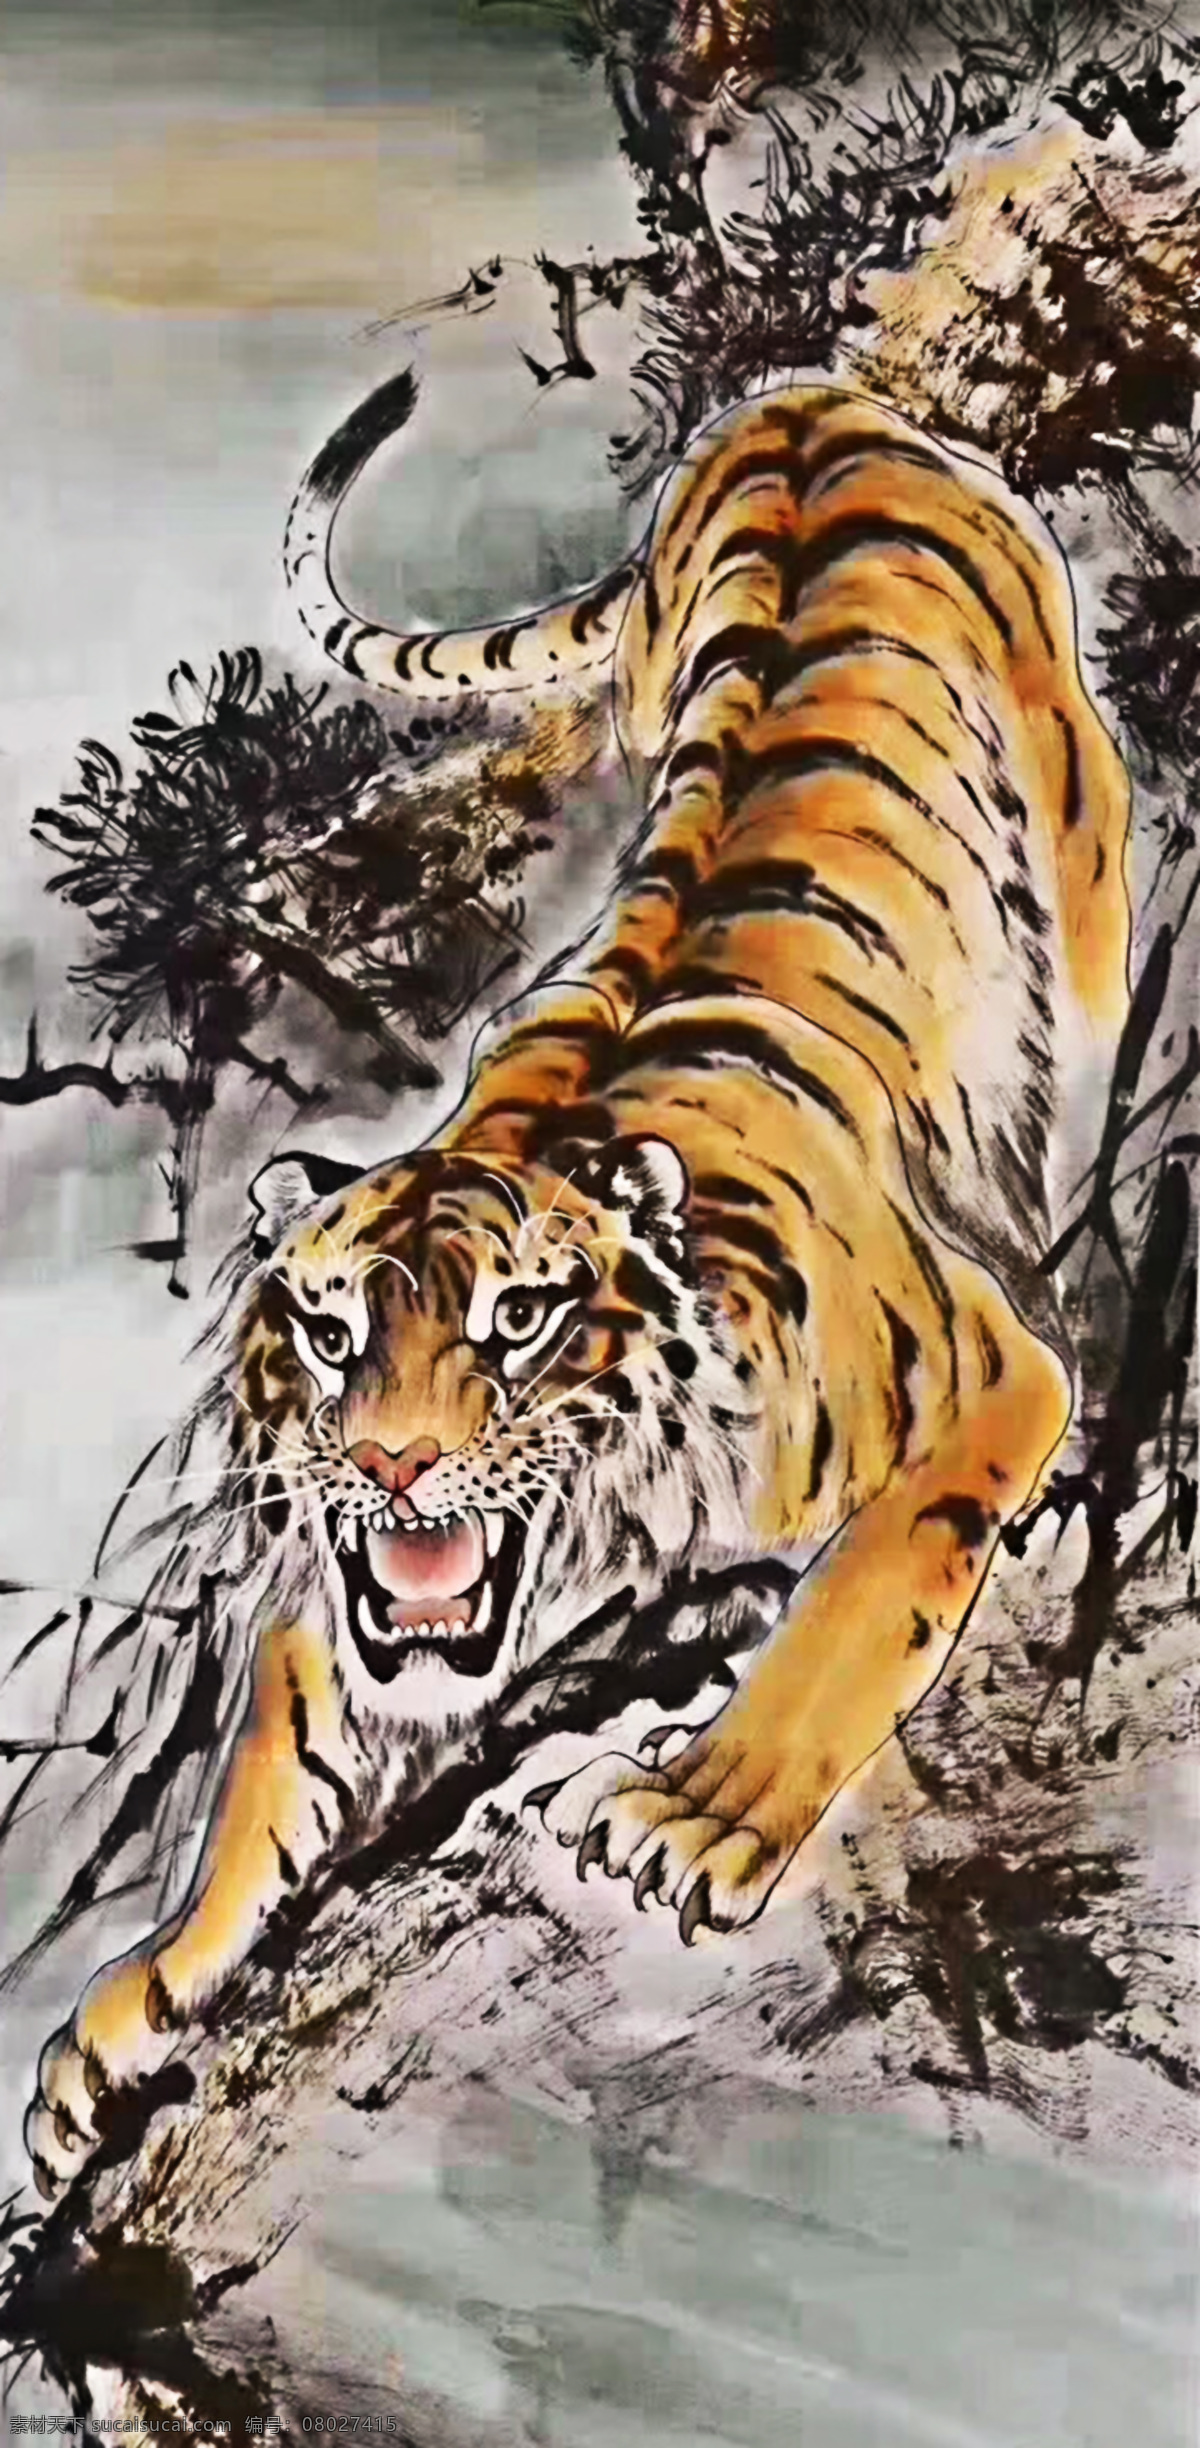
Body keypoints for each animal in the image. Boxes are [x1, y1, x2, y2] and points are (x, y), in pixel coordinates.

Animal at [25, 367, 1131, 2199]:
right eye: (328, 1333)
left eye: (517, 1323)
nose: (393, 1462)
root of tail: (800, 397)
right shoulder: (348, 1601)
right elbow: (267, 1771)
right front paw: (127, 2011)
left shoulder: (990, 1376)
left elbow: (863, 1600)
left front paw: (704, 1813)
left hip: (1083, 839)